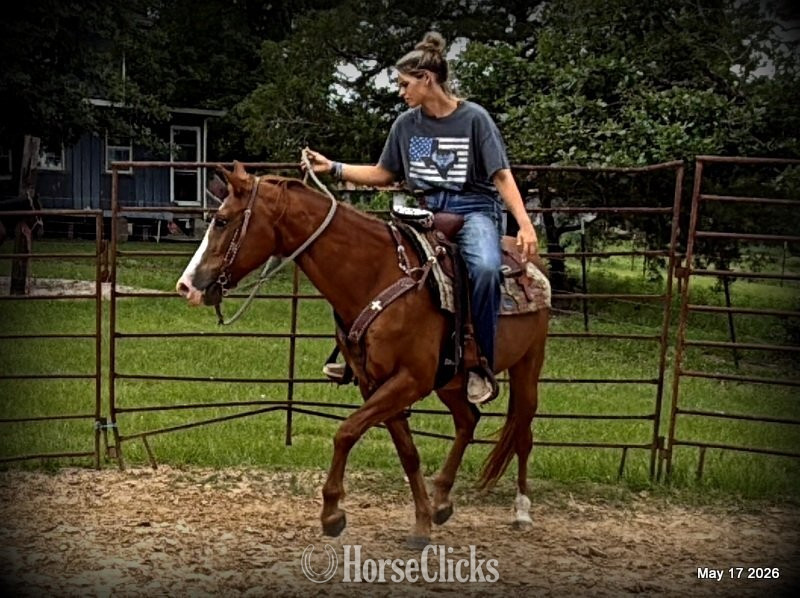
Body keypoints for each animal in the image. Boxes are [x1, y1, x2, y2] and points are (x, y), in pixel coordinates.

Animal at [176, 161, 549, 547]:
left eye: (222, 220)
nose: (186, 286)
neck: (377, 275)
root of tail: (529, 259)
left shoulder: (409, 380)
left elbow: (347, 431)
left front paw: (331, 513)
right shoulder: (377, 383)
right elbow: (407, 452)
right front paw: (421, 521)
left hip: (528, 366)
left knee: (523, 432)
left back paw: (522, 510)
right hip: (452, 380)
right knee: (467, 420)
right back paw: (443, 499)